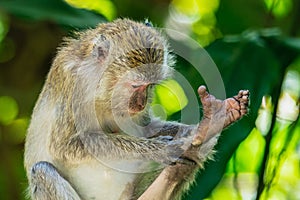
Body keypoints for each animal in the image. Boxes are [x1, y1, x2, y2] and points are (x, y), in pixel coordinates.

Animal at [23, 18, 250, 200]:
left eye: (149, 86)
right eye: (134, 85)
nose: (140, 104)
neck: (101, 89)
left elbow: (146, 127)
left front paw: (198, 129)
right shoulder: (72, 83)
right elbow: (63, 146)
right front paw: (160, 150)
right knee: (42, 170)